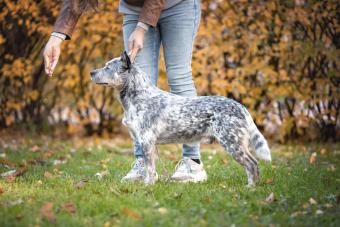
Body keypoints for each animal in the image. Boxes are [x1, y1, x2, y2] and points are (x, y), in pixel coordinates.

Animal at [89, 51, 270, 186]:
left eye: (107, 67)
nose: (91, 72)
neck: (138, 96)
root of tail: (241, 107)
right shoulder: (144, 141)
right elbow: (149, 167)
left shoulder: (146, 140)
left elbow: (150, 168)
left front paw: (148, 186)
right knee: (253, 164)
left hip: (232, 143)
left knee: (252, 164)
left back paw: (250, 187)